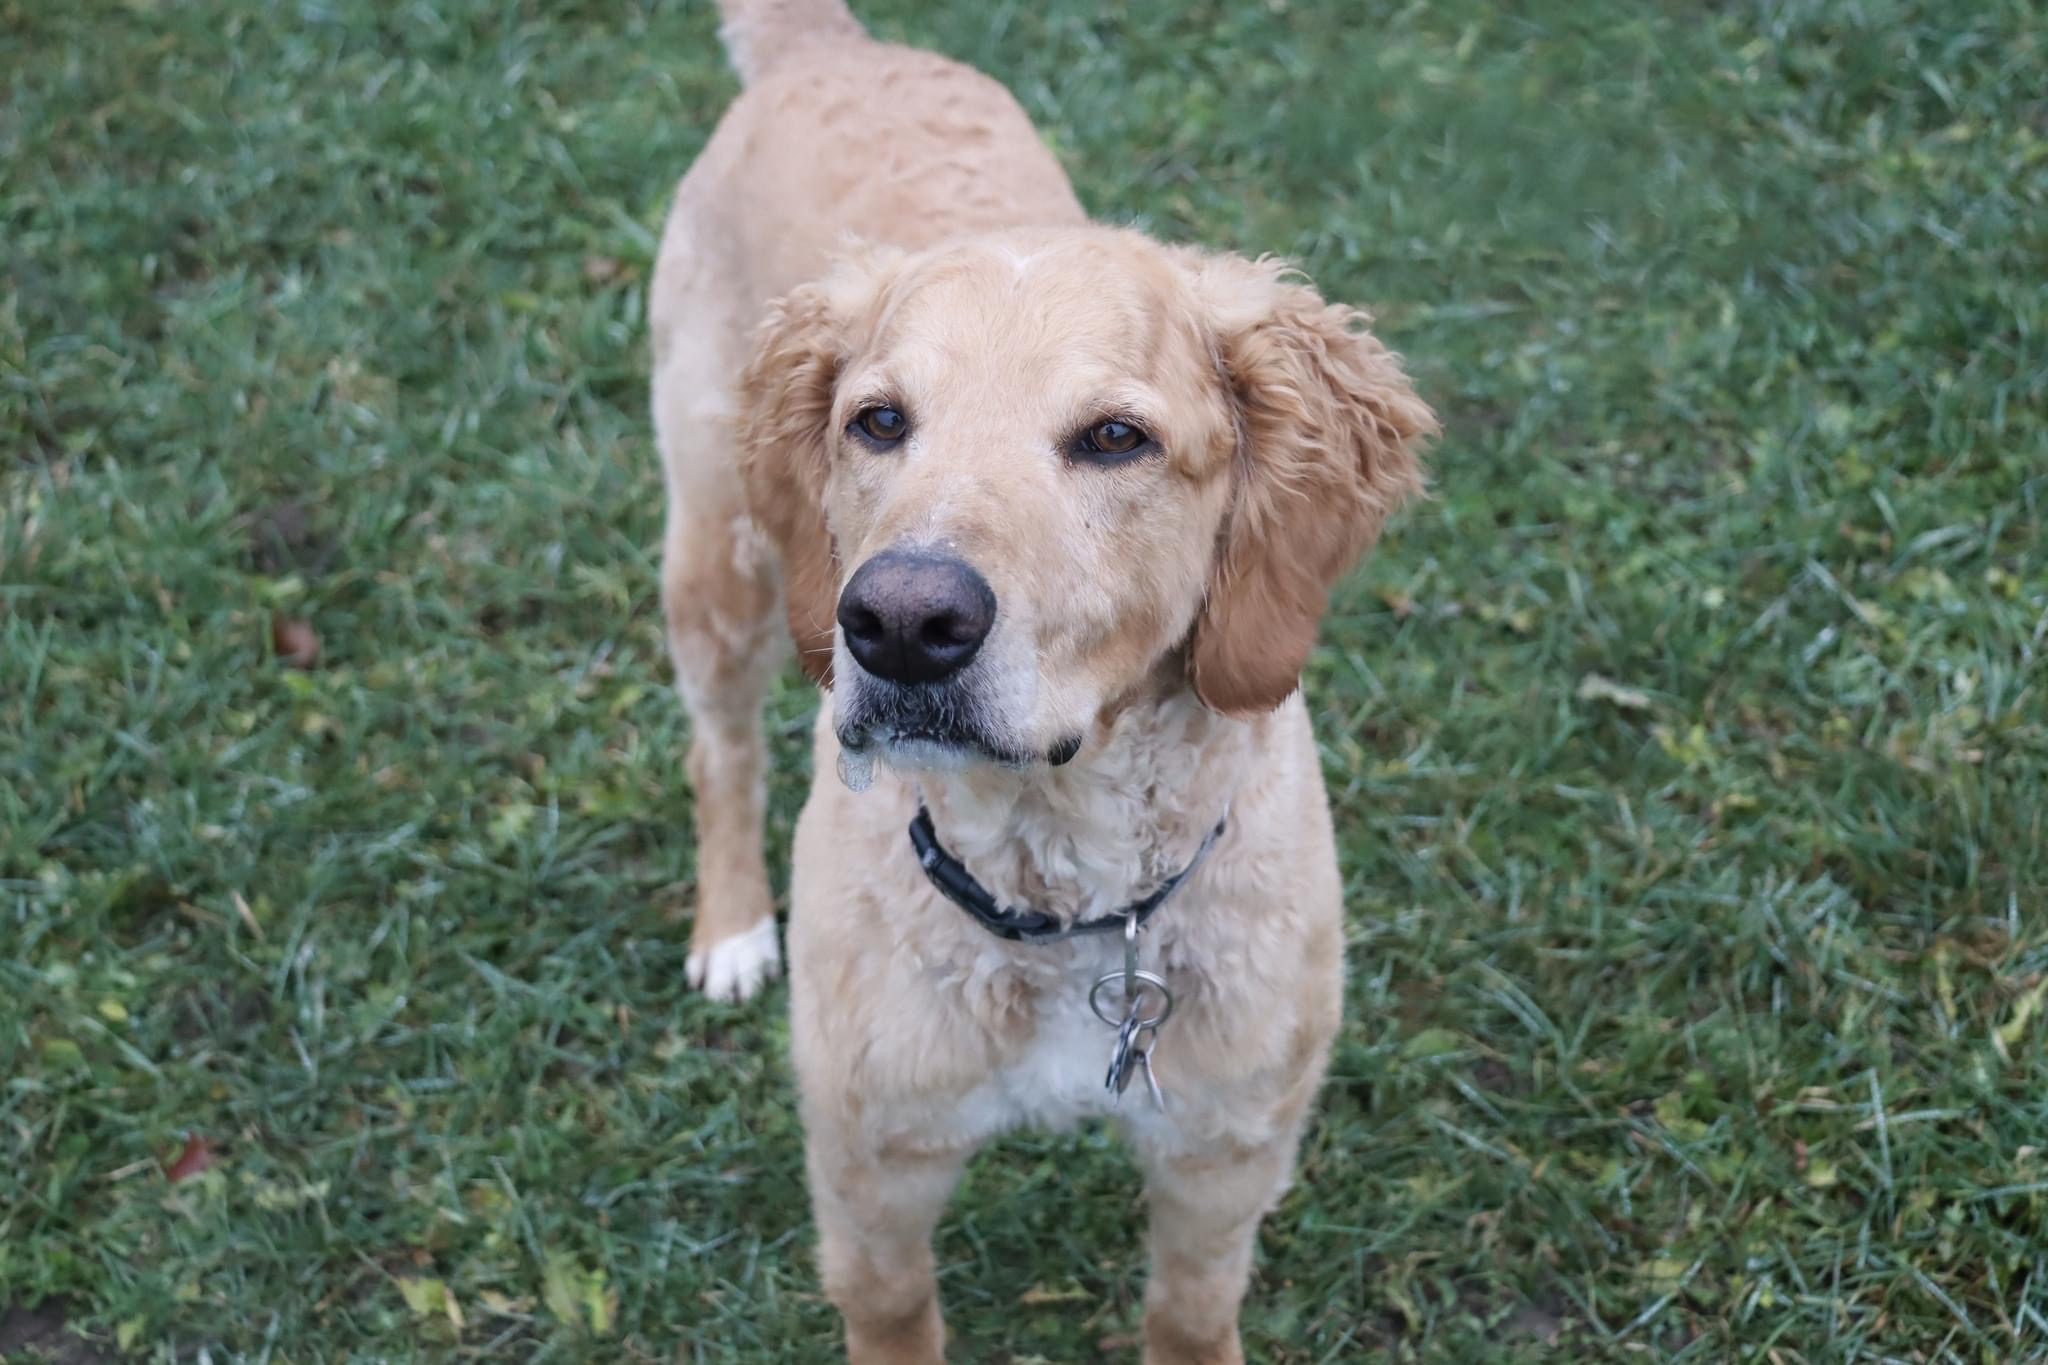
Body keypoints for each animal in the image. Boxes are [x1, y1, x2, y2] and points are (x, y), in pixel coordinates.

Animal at [651, 2, 1436, 1359]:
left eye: (1114, 438)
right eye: (877, 422)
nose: (898, 623)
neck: (1069, 902)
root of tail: (831, 49)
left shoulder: (1222, 1161)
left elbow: (1188, 1319)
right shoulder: (869, 1177)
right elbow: (896, 1318)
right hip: (717, 553)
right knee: (720, 750)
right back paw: (734, 928)